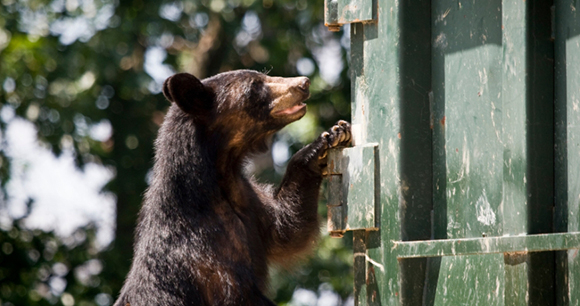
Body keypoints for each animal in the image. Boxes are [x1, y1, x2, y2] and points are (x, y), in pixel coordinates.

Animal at [112, 70, 348, 306]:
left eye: (264, 74)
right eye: (254, 86)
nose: (303, 83)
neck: (218, 180)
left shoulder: (247, 199)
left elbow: (287, 228)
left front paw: (325, 141)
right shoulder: (205, 254)